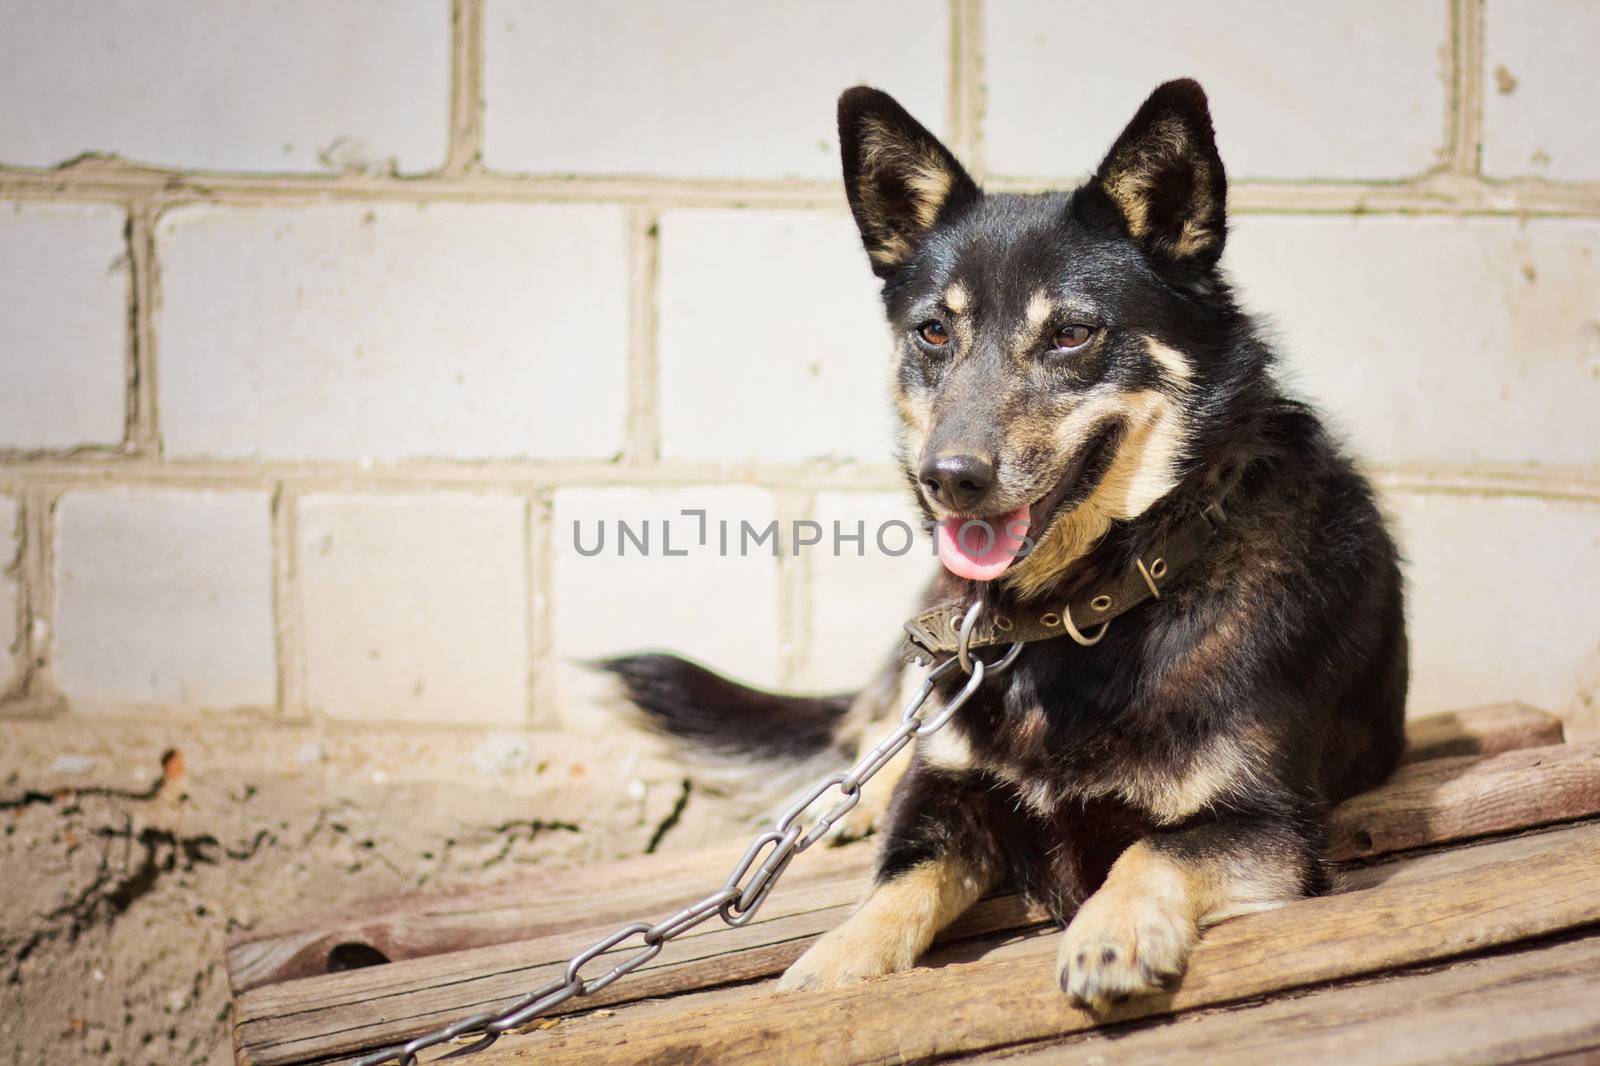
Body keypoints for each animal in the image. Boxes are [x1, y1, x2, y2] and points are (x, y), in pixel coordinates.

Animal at [604, 80, 1408, 1005]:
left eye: (1071, 334)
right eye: (932, 333)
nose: (947, 478)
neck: (1080, 612)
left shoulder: (1270, 822)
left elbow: (1153, 848)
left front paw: (1112, 932)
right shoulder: (944, 792)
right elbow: (895, 883)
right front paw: (831, 966)